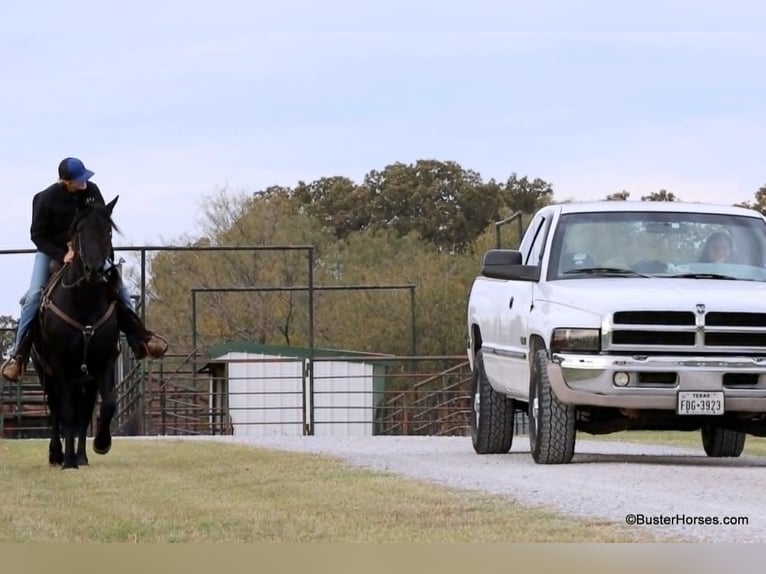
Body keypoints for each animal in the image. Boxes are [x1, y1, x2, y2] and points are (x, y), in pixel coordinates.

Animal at [30, 198, 122, 472]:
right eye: (80, 231)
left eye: (108, 231)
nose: (94, 269)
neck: (84, 303)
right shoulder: (59, 365)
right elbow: (67, 412)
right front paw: (68, 461)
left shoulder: (104, 361)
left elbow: (106, 405)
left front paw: (100, 444)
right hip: (45, 373)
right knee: (56, 411)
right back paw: (57, 453)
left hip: (84, 378)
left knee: (82, 410)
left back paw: (80, 455)